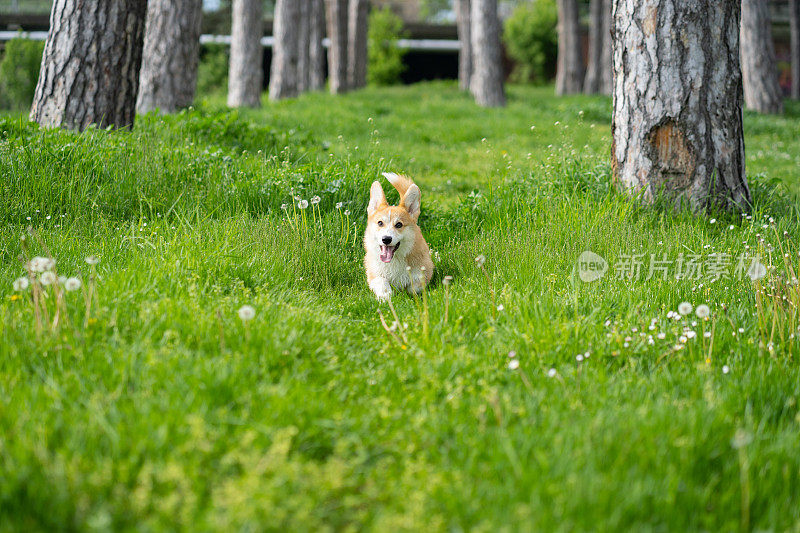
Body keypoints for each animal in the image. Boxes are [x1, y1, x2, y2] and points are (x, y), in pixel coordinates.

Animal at [366, 174, 434, 302]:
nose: (386, 239)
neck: (394, 259)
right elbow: (382, 283)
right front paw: (385, 297)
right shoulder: (374, 275)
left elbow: (413, 288)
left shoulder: (423, 272)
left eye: (399, 225)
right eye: (380, 223)